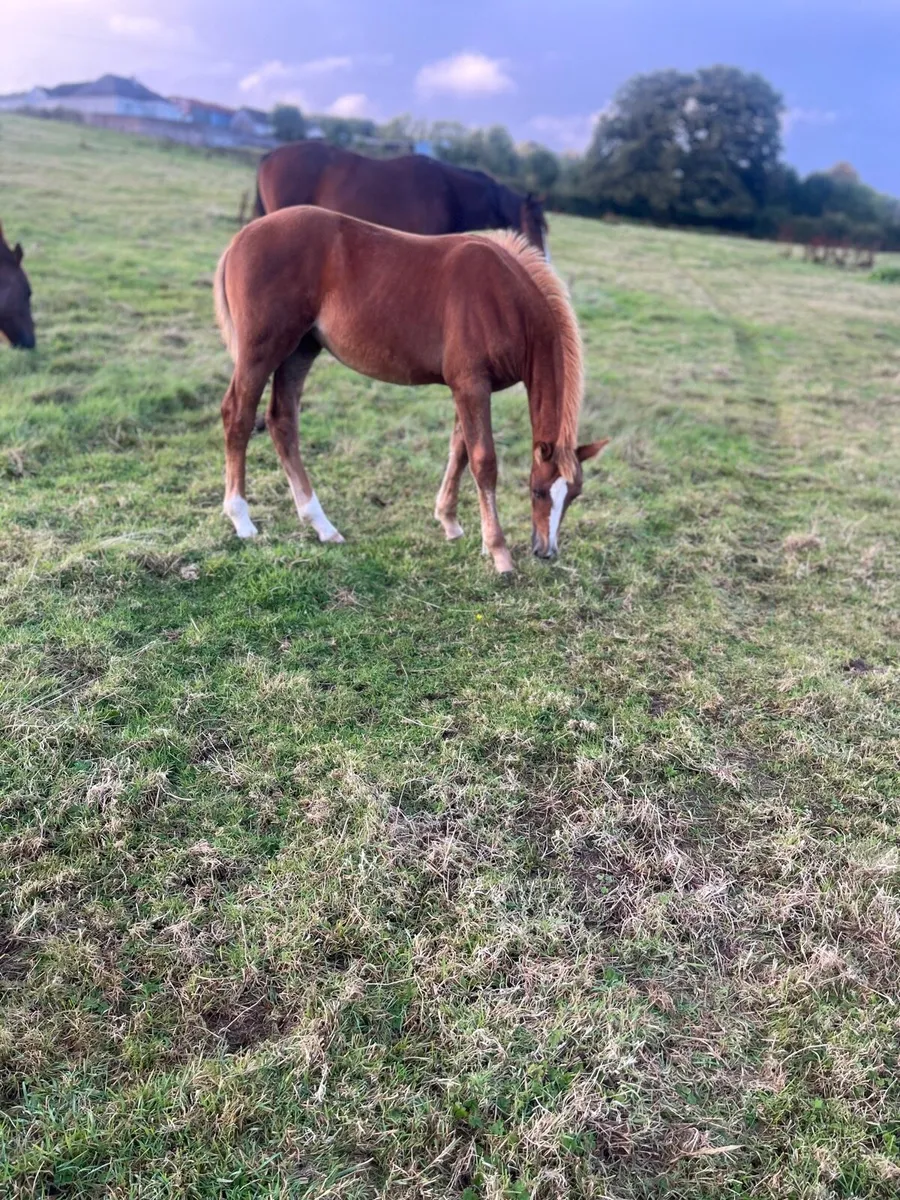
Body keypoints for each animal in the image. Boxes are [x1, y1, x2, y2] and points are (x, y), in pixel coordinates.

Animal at [214, 207, 606, 574]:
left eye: (574, 495)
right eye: (537, 490)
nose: (545, 551)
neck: (506, 302)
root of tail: (239, 239)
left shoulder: (467, 387)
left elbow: (460, 449)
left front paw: (452, 523)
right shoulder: (471, 384)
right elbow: (483, 461)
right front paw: (499, 553)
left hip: (302, 349)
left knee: (282, 421)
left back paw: (322, 525)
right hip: (262, 350)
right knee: (238, 415)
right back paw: (242, 520)